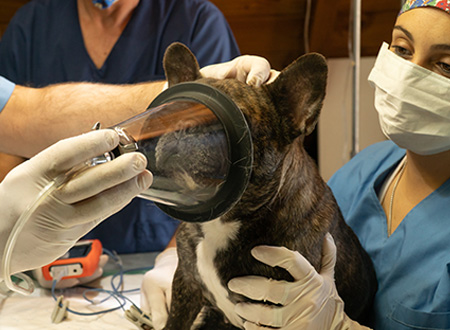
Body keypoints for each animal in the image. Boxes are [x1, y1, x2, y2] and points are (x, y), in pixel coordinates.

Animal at [154, 42, 376, 328]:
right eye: (173, 109)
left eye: (240, 120)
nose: (183, 124)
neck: (223, 222)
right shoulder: (186, 282)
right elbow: (174, 322)